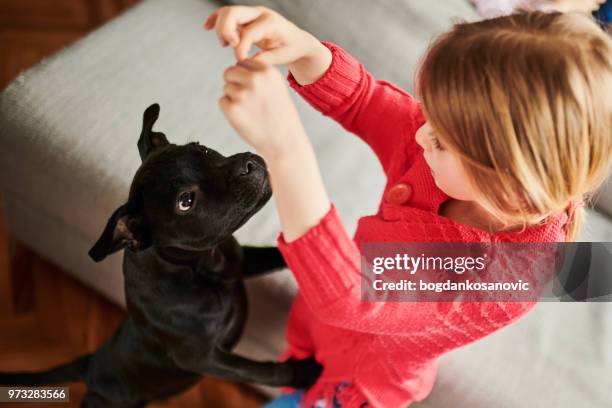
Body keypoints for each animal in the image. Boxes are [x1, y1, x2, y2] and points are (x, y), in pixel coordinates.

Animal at [0, 103, 322, 406]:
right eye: (185, 201)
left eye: (202, 149)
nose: (248, 164)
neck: (202, 266)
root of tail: (89, 363)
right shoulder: (202, 358)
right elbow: (258, 370)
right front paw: (304, 373)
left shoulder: (239, 261)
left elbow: (276, 256)